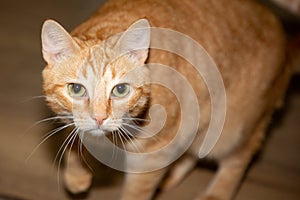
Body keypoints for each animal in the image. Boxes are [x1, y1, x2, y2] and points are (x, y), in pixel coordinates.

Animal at [41, 0, 292, 200]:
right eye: (76, 89)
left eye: (121, 90)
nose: (100, 118)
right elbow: (73, 135)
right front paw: (76, 176)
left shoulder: (153, 156)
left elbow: (135, 193)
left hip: (231, 130)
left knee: (240, 157)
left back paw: (216, 194)